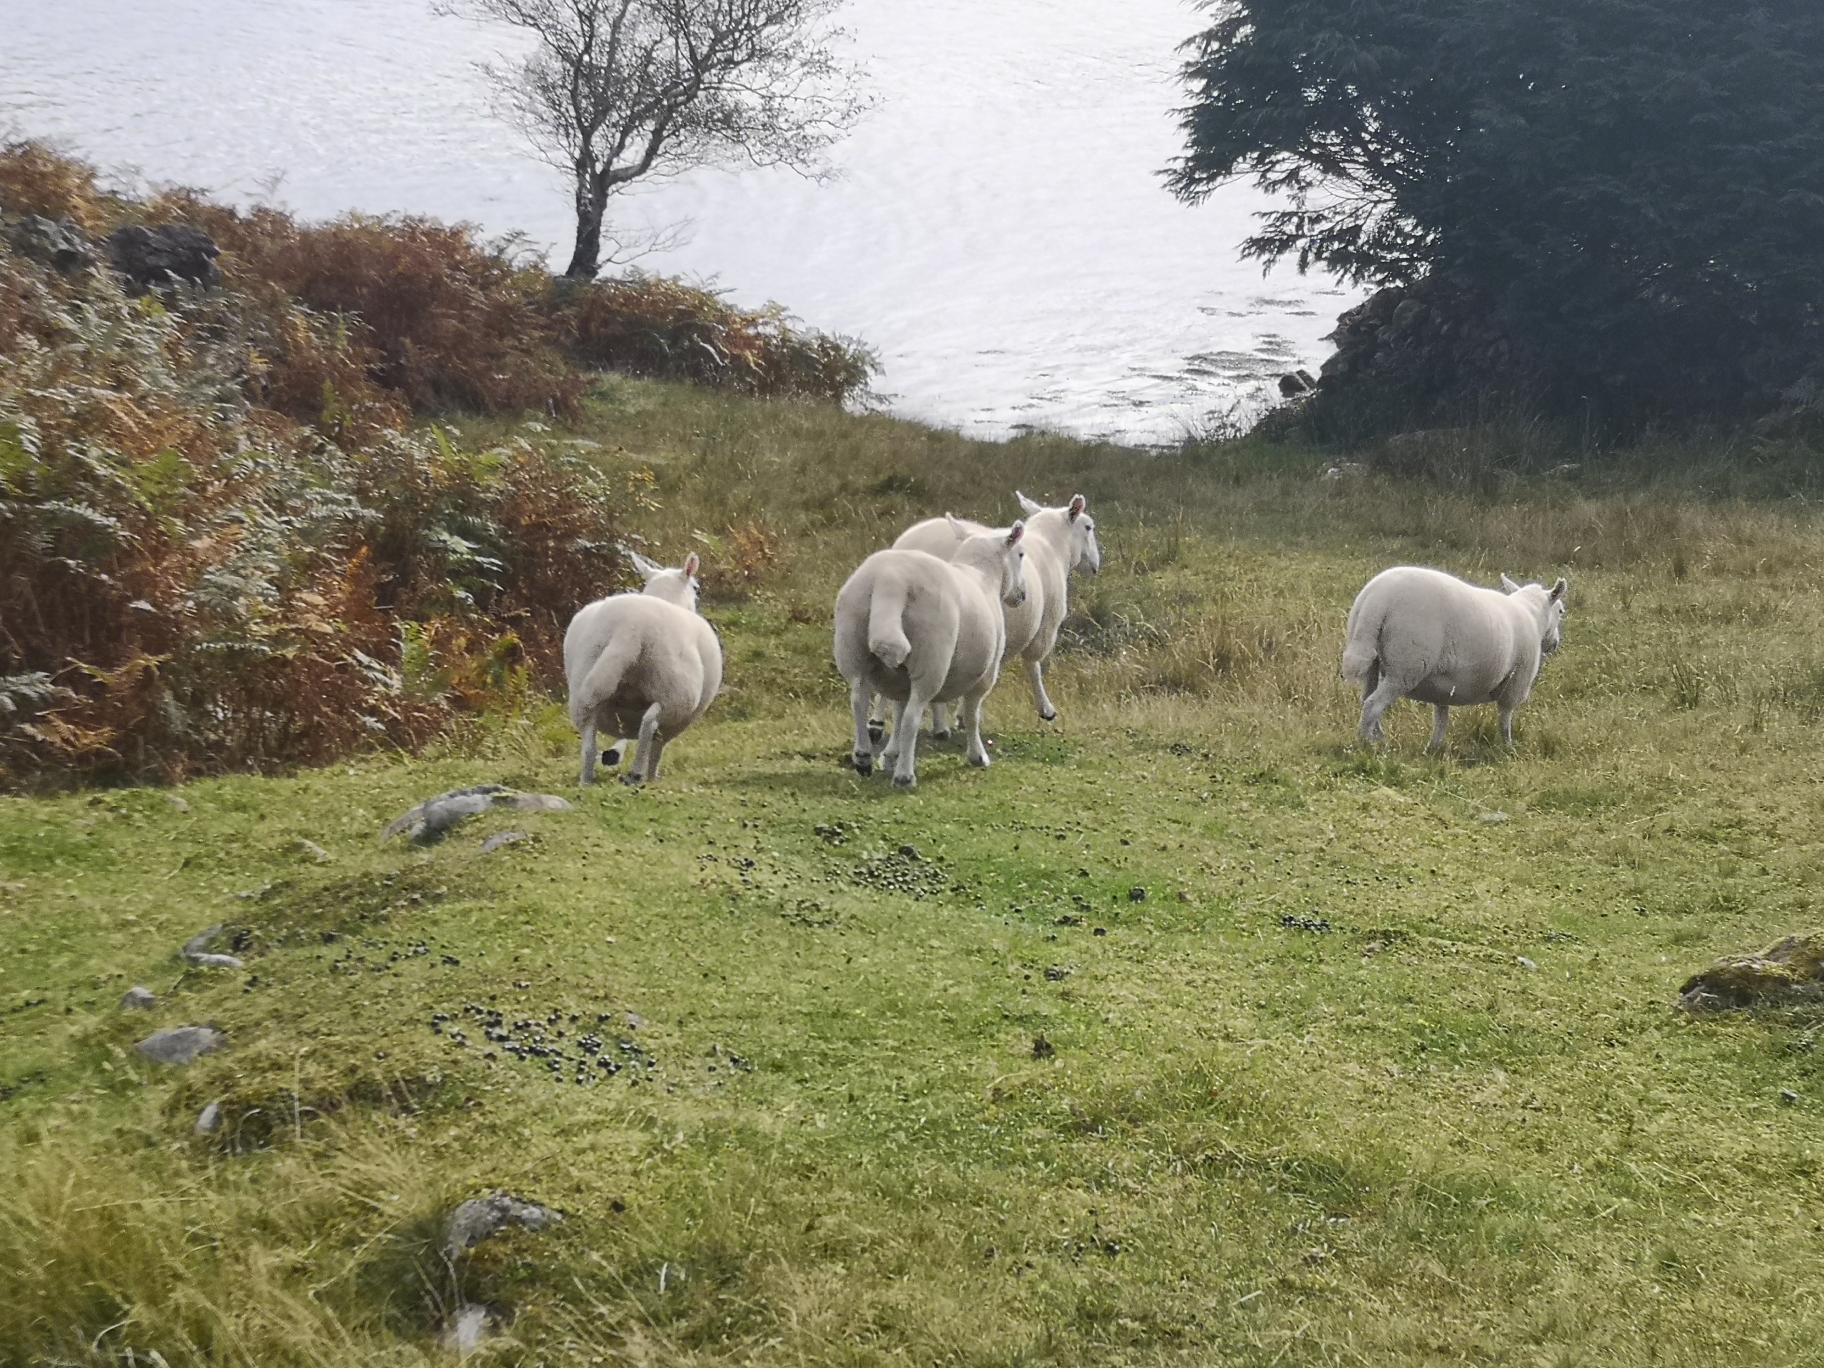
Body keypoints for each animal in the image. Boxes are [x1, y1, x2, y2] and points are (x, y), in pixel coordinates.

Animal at [561, 550, 718, 787]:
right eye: (696, 588)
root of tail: (630, 627)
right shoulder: (677, 721)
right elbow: (657, 749)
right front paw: (652, 777)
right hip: (673, 692)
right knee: (649, 724)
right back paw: (636, 773)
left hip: (585, 685)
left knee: (589, 744)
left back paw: (587, 780)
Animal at [835, 521, 1036, 787]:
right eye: (1021, 554)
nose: (1022, 595)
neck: (983, 575)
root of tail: (890, 581)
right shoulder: (986, 674)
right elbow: (972, 715)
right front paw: (977, 756)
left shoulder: (899, 680)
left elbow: (898, 714)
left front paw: (890, 755)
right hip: (931, 658)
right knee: (913, 716)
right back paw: (904, 776)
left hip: (853, 648)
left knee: (858, 701)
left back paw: (863, 758)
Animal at [879, 492, 1094, 740]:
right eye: (1089, 527)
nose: (1095, 566)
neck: (1052, 545)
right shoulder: (1041, 629)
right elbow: (1033, 666)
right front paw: (1046, 709)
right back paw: (938, 726)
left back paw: (878, 723)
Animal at [1342, 569, 1568, 762]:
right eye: (1561, 611)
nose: (1554, 643)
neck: (1532, 616)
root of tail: (1377, 598)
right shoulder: (1515, 683)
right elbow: (1505, 720)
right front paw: (1508, 749)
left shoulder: (1443, 690)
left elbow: (1441, 720)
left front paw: (1433, 749)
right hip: (1406, 668)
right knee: (1373, 705)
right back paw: (1367, 745)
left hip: (1372, 661)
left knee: (1366, 699)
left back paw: (1378, 738)